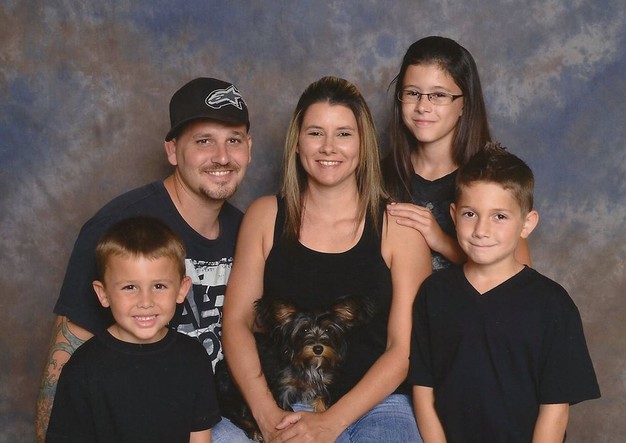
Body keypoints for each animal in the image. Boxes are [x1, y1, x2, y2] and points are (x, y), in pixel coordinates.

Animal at [216, 294, 372, 441]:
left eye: (328, 329)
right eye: (305, 329)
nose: (318, 349)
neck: (308, 364)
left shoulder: (322, 386)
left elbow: (322, 407)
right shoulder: (283, 389)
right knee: (233, 413)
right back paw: (254, 430)